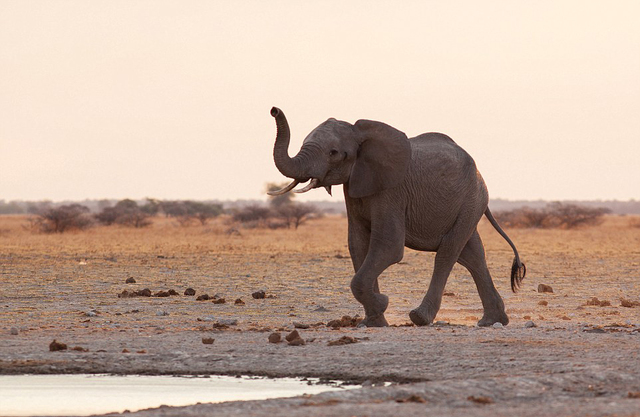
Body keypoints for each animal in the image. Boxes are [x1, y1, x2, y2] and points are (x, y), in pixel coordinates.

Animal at [268, 105, 524, 326]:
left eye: (334, 153)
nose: (274, 110)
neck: (362, 134)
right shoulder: (355, 187)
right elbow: (358, 245)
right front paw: (374, 321)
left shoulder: (392, 192)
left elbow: (388, 246)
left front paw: (382, 304)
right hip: (468, 203)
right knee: (472, 254)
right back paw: (492, 321)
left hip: (472, 199)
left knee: (448, 252)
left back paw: (421, 318)